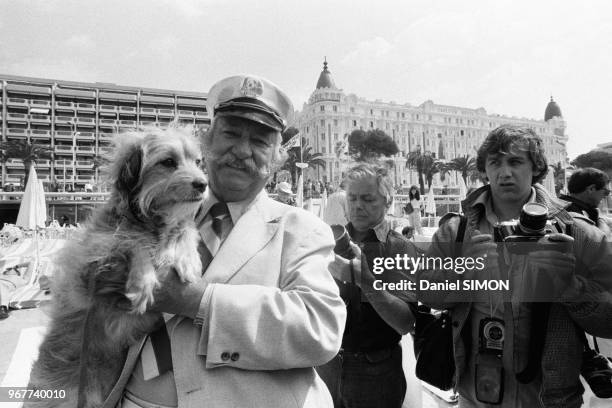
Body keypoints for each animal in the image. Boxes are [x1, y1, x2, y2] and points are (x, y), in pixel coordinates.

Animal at [26, 127, 207, 408]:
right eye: (168, 162)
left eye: (198, 162)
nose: (203, 184)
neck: (153, 223)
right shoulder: (89, 267)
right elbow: (132, 243)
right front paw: (142, 281)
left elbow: (186, 229)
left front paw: (188, 260)